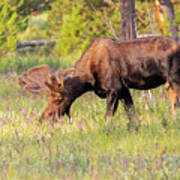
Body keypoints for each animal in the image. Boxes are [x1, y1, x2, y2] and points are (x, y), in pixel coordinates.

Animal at [18, 35, 180, 124]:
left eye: (59, 100)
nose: (43, 119)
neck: (90, 79)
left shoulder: (114, 88)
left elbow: (108, 117)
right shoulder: (124, 89)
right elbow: (131, 114)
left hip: (175, 78)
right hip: (168, 84)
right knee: (174, 105)